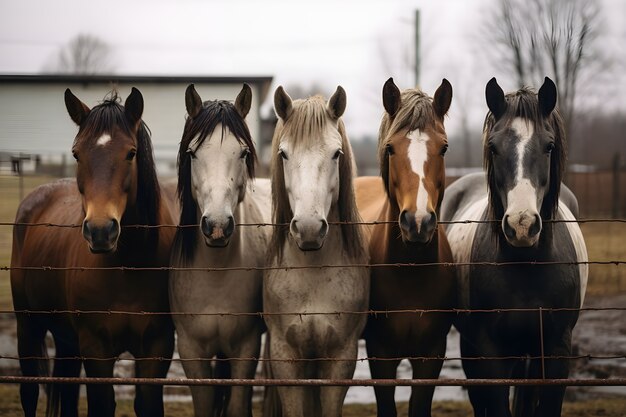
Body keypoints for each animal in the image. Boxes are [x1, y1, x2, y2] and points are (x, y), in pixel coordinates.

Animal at [10, 88, 176, 416]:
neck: (129, 267)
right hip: (28, 327)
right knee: (30, 392)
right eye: (76, 153)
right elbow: (101, 404)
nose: (100, 231)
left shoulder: (157, 347)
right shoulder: (96, 348)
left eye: (131, 153)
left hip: (66, 342)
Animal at [169, 83, 270, 416]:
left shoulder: (246, 348)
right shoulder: (190, 351)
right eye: (192, 152)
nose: (216, 225)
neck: (216, 272)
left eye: (243, 152)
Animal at [356, 77, 454, 416]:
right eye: (390, 147)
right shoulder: (380, 356)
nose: (418, 221)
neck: (411, 274)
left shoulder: (431, 357)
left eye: (444, 147)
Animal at [438, 75, 584, 416]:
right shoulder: (490, 352)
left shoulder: (556, 350)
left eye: (549, 146)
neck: (526, 265)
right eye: (493, 147)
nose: (521, 225)